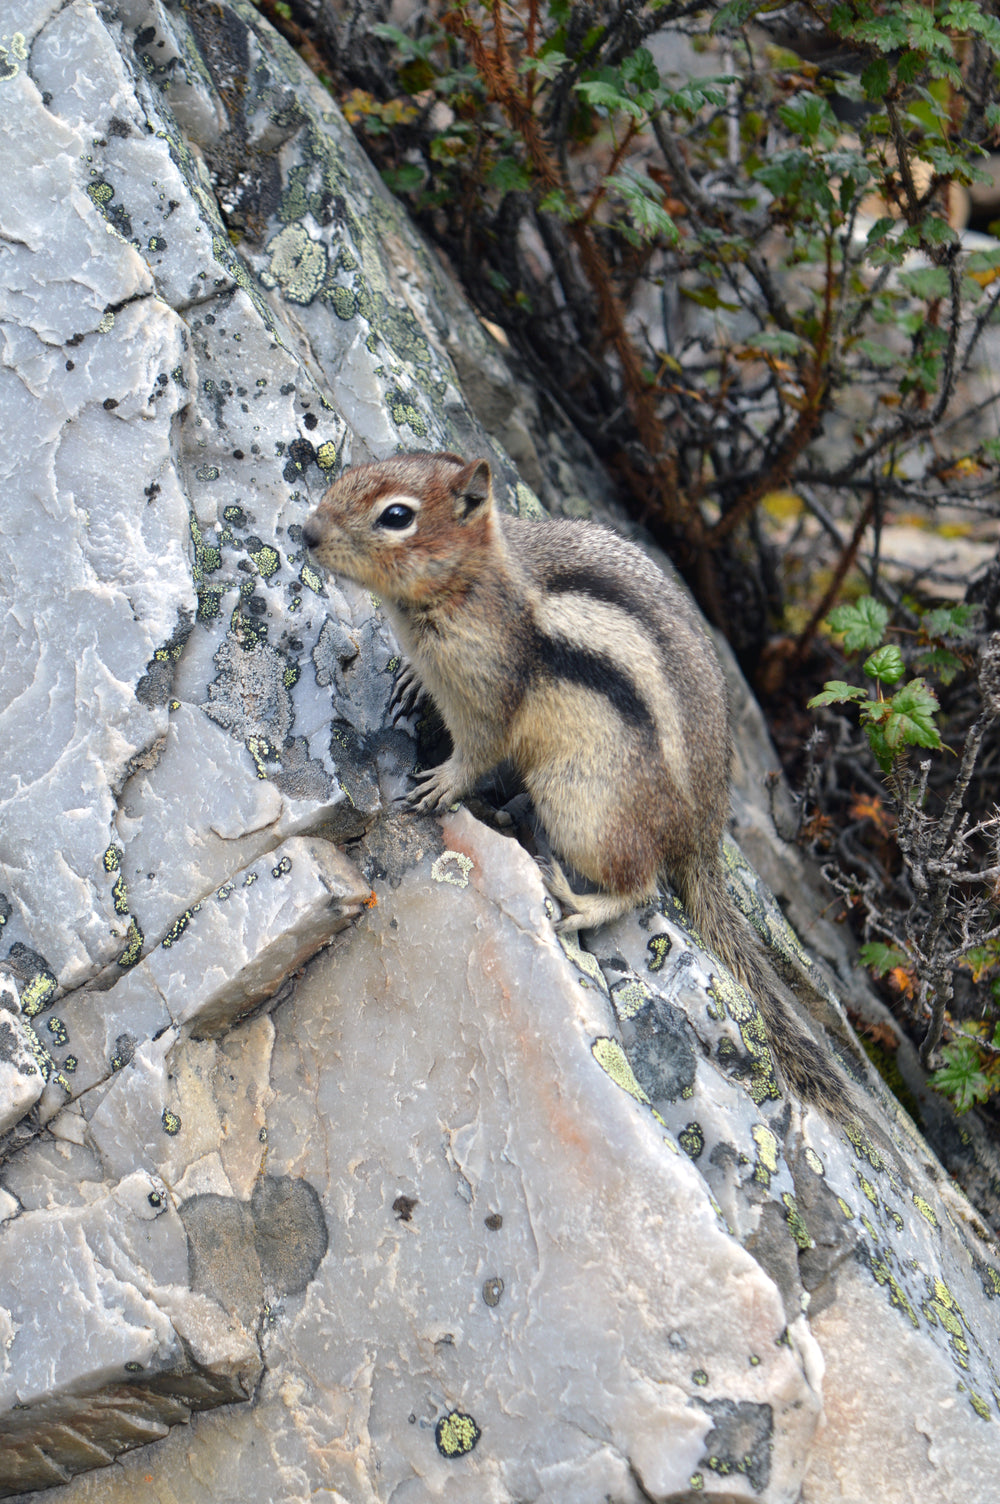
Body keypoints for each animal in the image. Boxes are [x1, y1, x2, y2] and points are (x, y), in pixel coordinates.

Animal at [302, 454, 848, 1118]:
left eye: (397, 516)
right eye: (351, 474)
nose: (306, 533)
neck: (473, 580)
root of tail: (703, 831)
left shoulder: (489, 694)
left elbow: (478, 752)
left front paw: (442, 784)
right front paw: (407, 677)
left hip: (582, 803)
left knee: (641, 886)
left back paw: (578, 900)